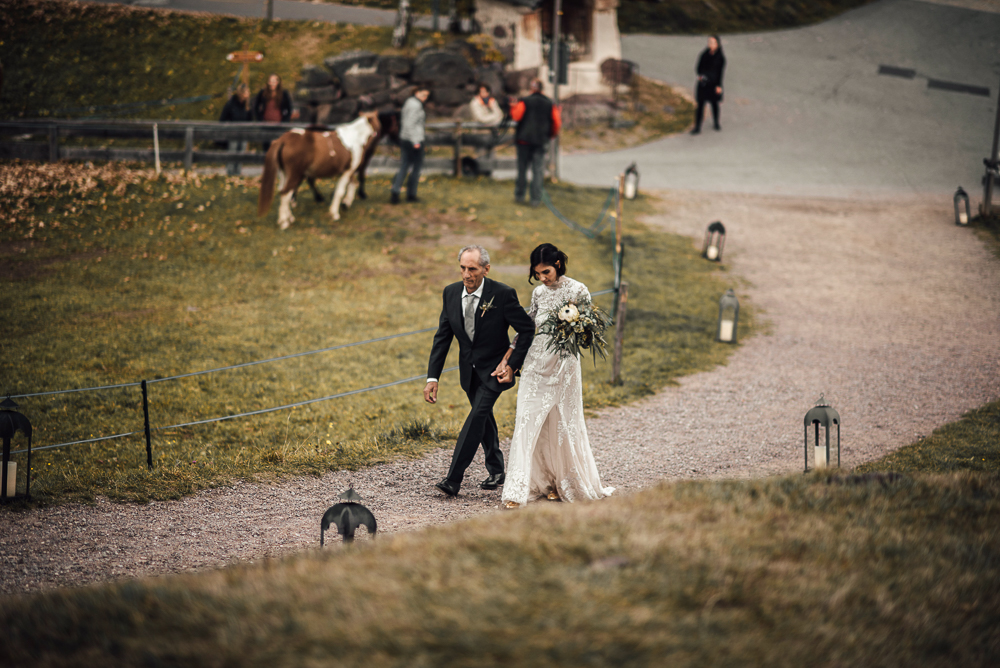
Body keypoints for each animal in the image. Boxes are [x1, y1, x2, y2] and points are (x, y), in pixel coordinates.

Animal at [258, 111, 398, 230]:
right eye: (381, 122)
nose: (395, 138)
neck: (354, 138)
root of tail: (283, 139)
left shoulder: (348, 171)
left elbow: (353, 184)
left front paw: (346, 203)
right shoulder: (348, 171)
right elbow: (340, 191)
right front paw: (335, 213)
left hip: (285, 174)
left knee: (284, 192)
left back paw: (289, 217)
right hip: (295, 174)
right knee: (286, 193)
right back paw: (284, 222)